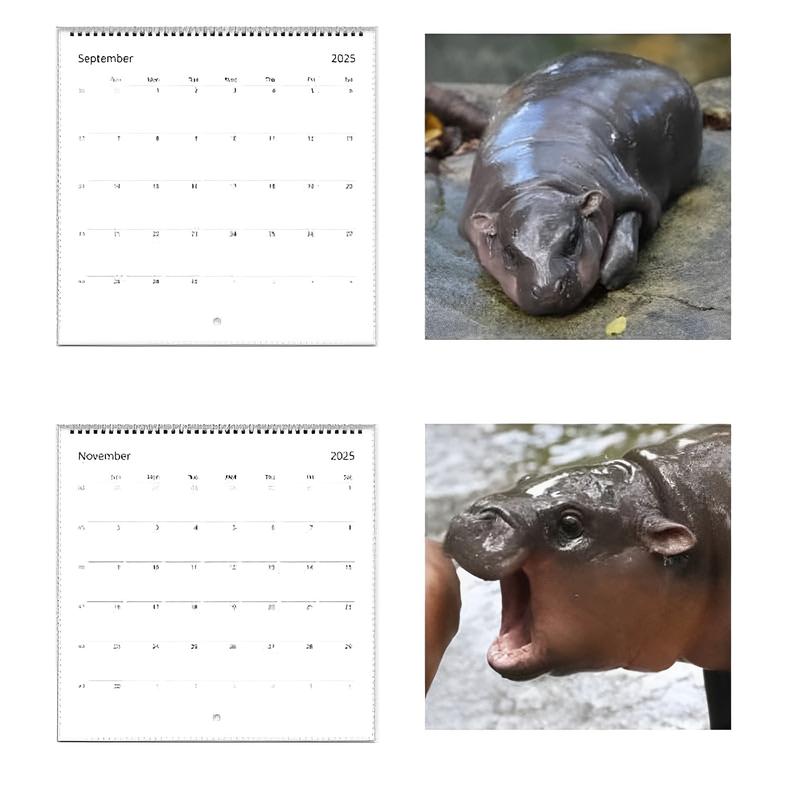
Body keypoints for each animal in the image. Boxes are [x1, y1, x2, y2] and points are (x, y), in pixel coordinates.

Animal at [459, 52, 702, 315]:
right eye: (509, 253)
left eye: (573, 239)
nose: (547, 290)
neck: (536, 186)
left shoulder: (630, 193)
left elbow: (628, 234)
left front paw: (608, 279)